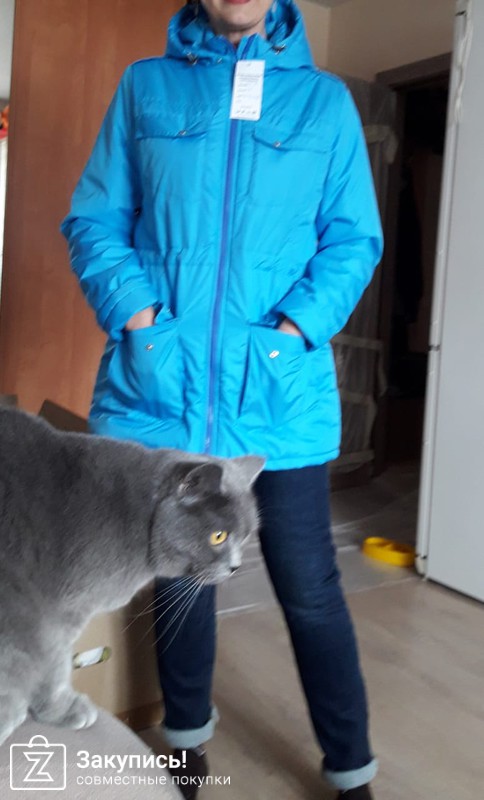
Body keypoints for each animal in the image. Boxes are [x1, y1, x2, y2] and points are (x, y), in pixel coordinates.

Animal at [0, 408, 263, 746]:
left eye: (245, 537)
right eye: (218, 537)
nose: (235, 566)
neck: (140, 523)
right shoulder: (57, 614)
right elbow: (53, 665)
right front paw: (61, 710)